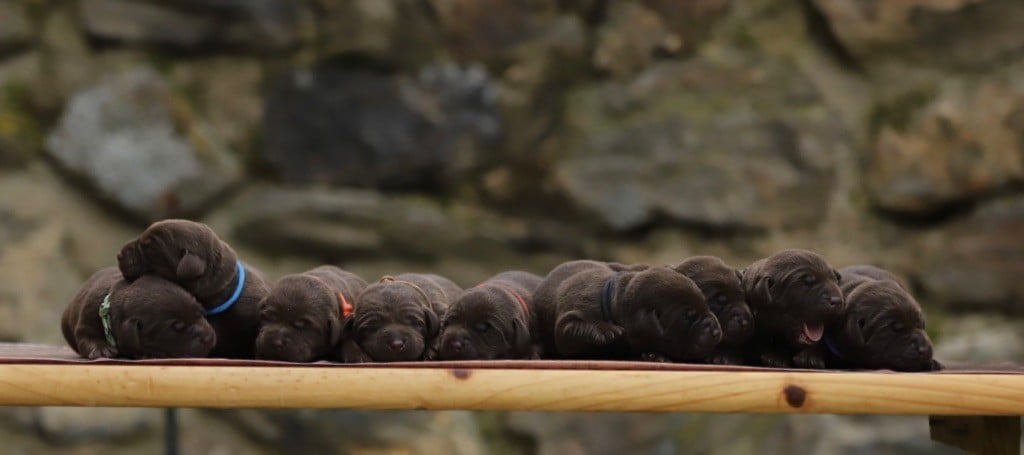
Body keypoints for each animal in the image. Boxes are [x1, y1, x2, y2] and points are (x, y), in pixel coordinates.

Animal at [60, 266, 217, 358]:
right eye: (176, 327)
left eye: (200, 311)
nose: (208, 337)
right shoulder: (86, 321)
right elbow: (86, 337)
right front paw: (101, 349)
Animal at [532, 259, 724, 362]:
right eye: (688, 317)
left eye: (706, 305)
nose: (716, 331)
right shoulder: (569, 319)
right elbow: (570, 327)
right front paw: (605, 330)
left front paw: (653, 355)